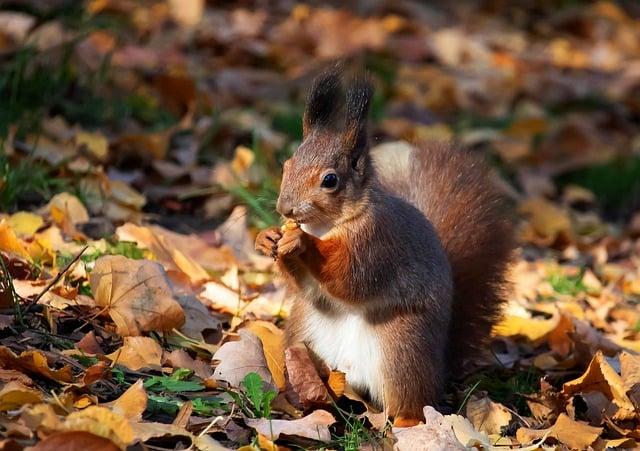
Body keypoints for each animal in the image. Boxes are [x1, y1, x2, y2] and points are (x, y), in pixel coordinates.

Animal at [254, 68, 516, 424]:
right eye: (286, 165)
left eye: (330, 180)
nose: (286, 209)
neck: (328, 225)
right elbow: (304, 285)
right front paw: (267, 237)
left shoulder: (376, 244)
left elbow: (349, 278)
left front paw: (303, 242)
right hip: (301, 332)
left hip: (402, 348)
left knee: (411, 402)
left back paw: (407, 422)